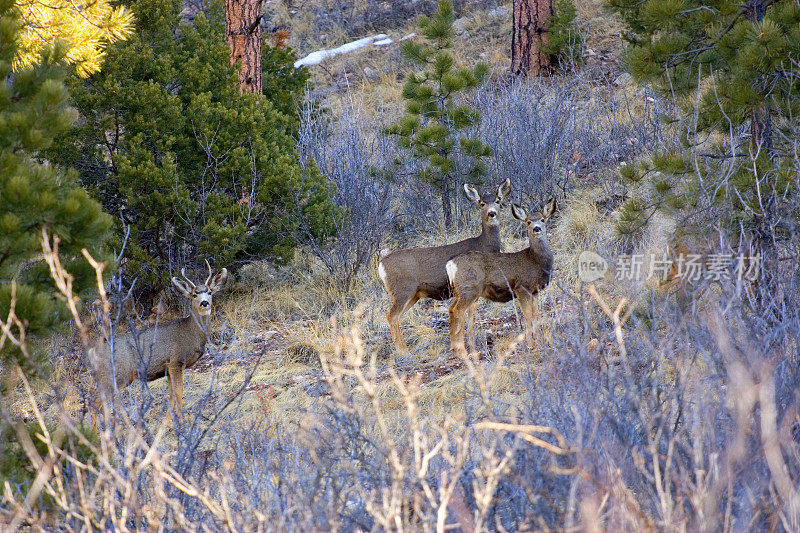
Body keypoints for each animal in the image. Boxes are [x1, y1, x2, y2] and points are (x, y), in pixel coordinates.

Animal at [87, 262, 228, 416]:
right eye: (194, 294)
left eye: (209, 292)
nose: (204, 303)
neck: (192, 333)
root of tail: (93, 353)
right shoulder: (176, 361)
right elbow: (179, 394)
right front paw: (182, 419)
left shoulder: (168, 368)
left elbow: (172, 397)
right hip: (116, 374)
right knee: (95, 400)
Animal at [376, 180, 512, 354]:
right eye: (482, 203)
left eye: (498, 201)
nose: (492, 213)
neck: (482, 246)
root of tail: (381, 264)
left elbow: (470, 316)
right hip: (402, 290)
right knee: (391, 316)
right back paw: (403, 351)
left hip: (413, 295)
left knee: (396, 317)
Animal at [444, 197, 556, 356]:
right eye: (528, 221)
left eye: (542, 219)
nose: (537, 229)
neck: (536, 261)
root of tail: (451, 264)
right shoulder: (522, 287)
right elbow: (528, 316)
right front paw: (531, 344)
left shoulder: (534, 291)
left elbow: (535, 315)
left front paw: (539, 340)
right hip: (469, 288)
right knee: (457, 311)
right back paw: (461, 350)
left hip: (461, 291)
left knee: (452, 309)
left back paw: (460, 348)